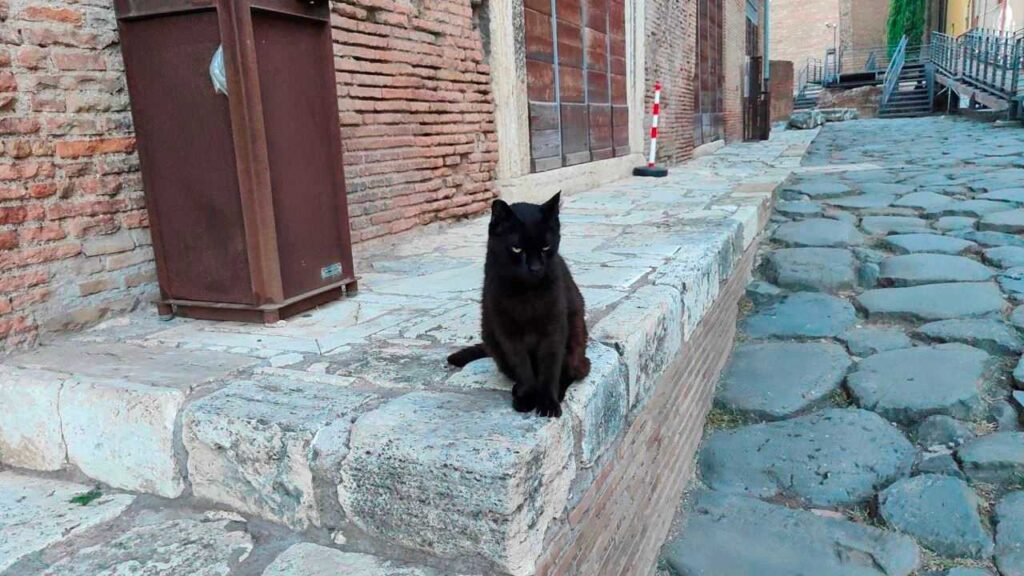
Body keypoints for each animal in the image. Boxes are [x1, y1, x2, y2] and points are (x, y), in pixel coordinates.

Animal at [444, 190, 589, 414]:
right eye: (517, 249)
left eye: (546, 246)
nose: (535, 268)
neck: (526, 293)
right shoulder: (507, 332)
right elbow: (522, 365)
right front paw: (528, 396)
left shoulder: (554, 328)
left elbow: (550, 367)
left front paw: (548, 402)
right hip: (492, 340)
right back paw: (517, 390)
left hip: (575, 341)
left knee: (576, 369)